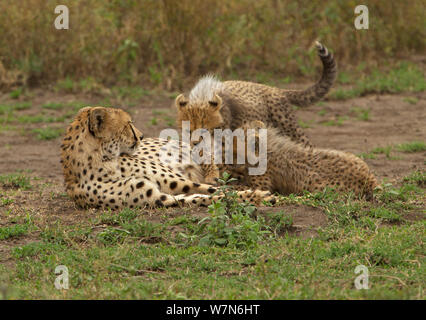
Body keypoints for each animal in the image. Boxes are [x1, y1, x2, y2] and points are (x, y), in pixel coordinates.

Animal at [60, 105, 274, 210]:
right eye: (128, 124)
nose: (141, 136)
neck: (106, 162)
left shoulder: (180, 182)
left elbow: (217, 191)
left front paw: (256, 195)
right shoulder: (160, 198)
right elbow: (200, 198)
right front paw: (256, 196)